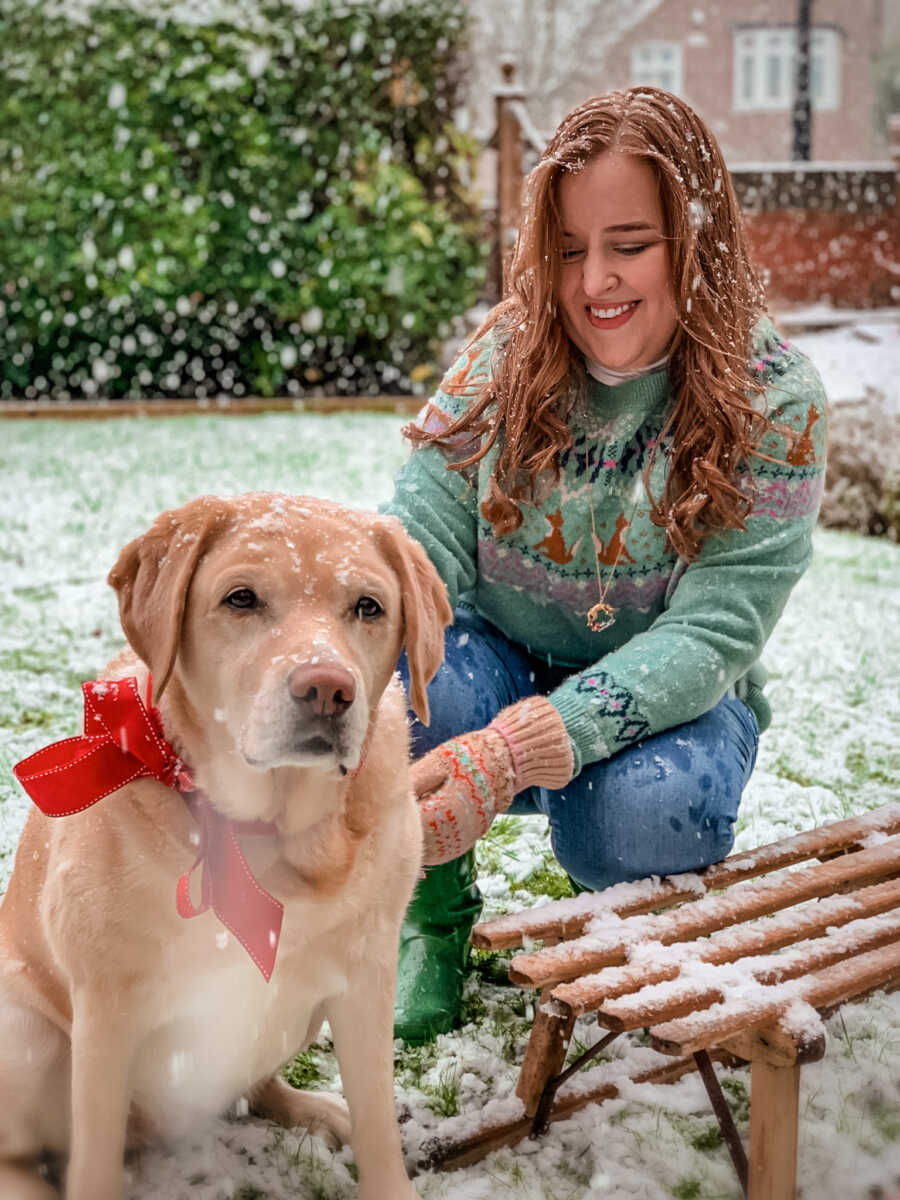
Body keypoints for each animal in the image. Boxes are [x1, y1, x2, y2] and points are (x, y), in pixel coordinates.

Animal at [0, 492, 451, 1195]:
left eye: (369, 606)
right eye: (241, 598)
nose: (328, 689)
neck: (269, 836)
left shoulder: (366, 978)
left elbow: (380, 1128)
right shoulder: (104, 1010)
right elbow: (94, 1161)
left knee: (261, 1083)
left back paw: (315, 1110)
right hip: (25, 1034)